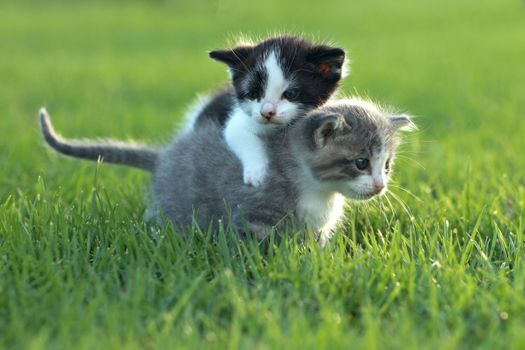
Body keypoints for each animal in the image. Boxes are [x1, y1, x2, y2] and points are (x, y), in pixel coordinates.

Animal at [37, 98, 414, 246]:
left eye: (387, 165)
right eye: (361, 162)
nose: (380, 186)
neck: (317, 192)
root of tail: (163, 156)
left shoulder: (316, 229)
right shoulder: (251, 216)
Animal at [185, 36, 348, 187]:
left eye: (290, 94)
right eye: (253, 94)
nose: (266, 112)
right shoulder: (237, 122)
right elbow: (242, 135)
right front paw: (256, 173)